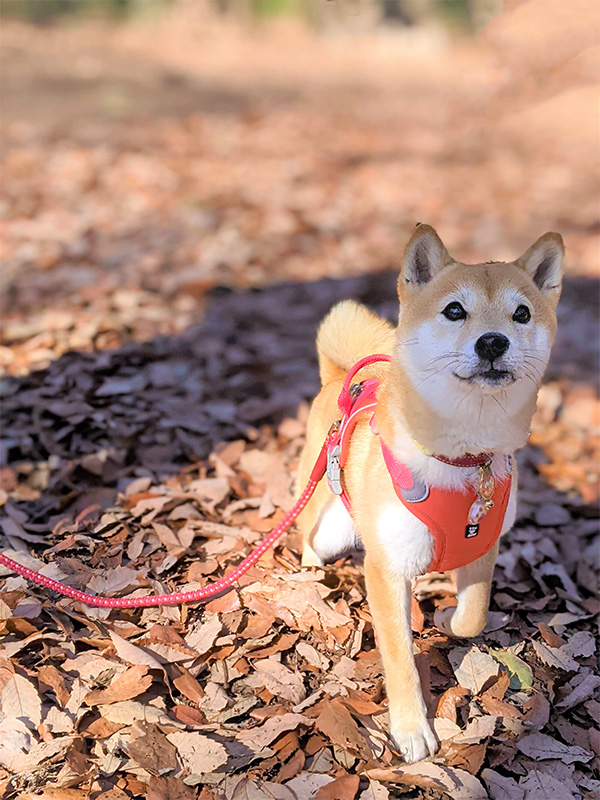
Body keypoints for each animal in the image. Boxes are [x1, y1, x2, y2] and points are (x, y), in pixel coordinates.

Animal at [298, 223, 564, 764]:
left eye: (522, 314)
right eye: (455, 310)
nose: (492, 342)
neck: (461, 459)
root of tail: (340, 379)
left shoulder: (484, 545)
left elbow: (473, 617)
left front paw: (445, 615)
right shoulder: (385, 569)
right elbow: (400, 658)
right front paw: (411, 729)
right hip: (329, 521)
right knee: (303, 535)